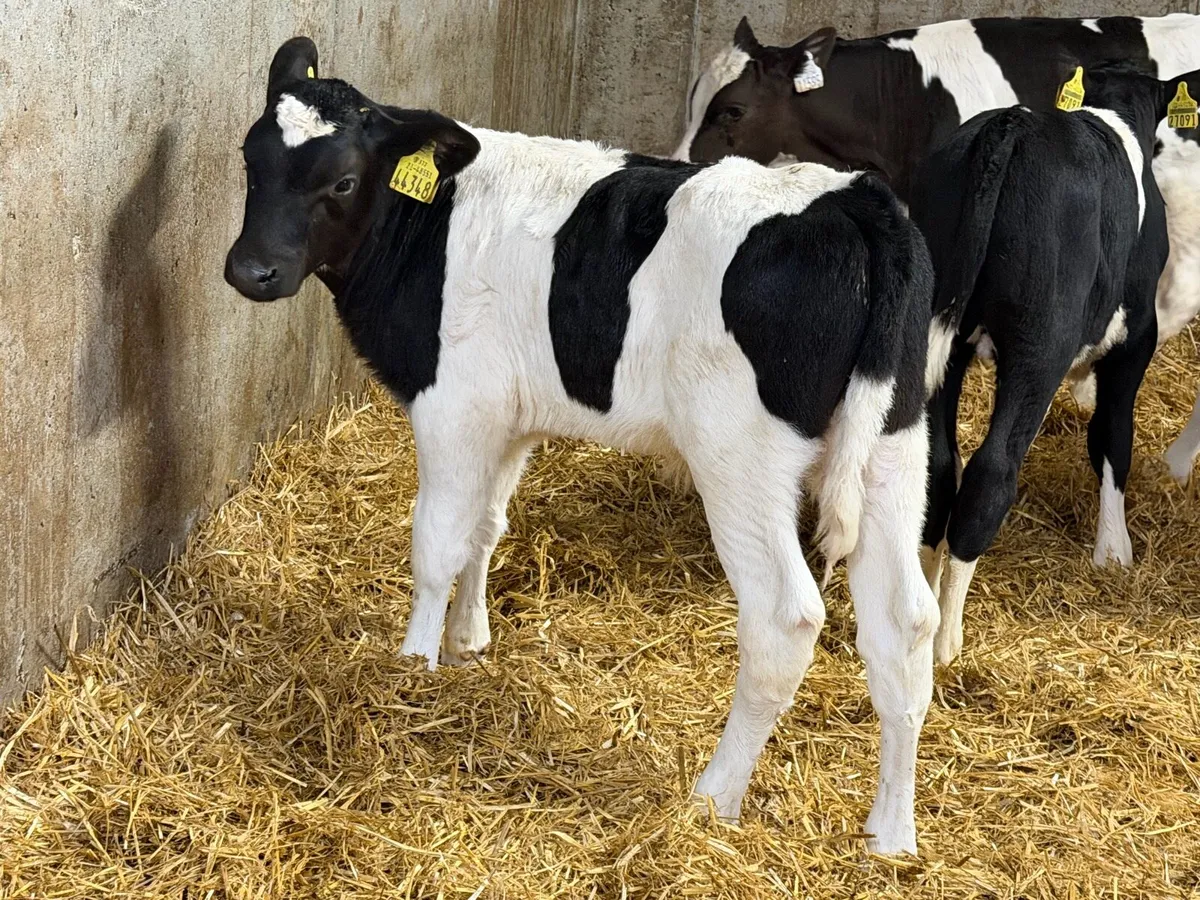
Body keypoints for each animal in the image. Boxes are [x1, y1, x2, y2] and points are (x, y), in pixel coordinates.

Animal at [225, 37, 940, 855]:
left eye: (342, 180)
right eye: (250, 160)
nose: (251, 270)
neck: (429, 227)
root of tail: (856, 200)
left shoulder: (454, 403)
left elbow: (436, 543)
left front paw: (411, 669)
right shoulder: (511, 416)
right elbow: (486, 528)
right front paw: (468, 642)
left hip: (742, 455)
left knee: (785, 619)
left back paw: (712, 799)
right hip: (894, 442)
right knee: (905, 623)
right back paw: (891, 835)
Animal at [910, 63, 1196, 664]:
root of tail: (1012, 126)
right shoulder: (1135, 339)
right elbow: (1112, 435)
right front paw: (1114, 550)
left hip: (940, 334)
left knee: (938, 466)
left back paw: (922, 605)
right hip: (1040, 346)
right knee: (990, 473)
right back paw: (946, 641)